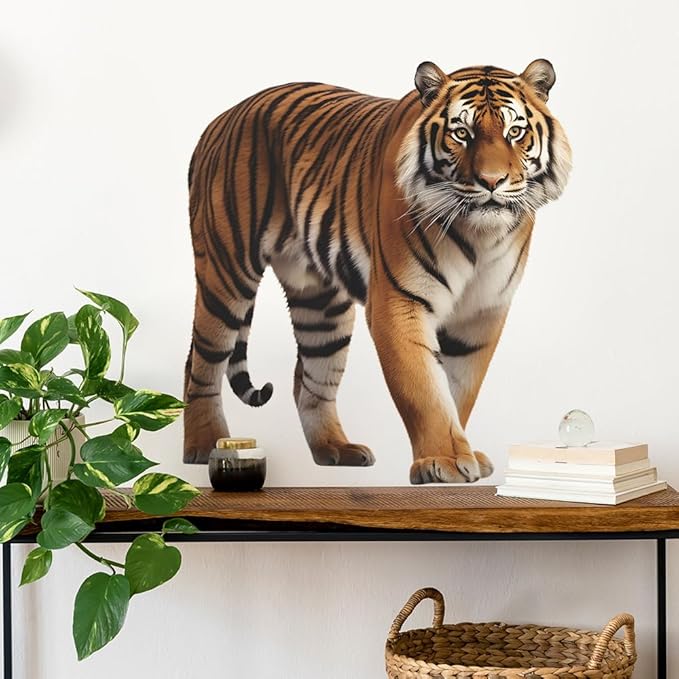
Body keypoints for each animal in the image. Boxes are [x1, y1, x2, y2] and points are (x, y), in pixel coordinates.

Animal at [183, 59, 572, 484]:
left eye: (514, 132)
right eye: (461, 134)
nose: (491, 181)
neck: (480, 235)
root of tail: (221, 118)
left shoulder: (482, 313)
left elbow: (459, 389)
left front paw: (463, 452)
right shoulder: (399, 302)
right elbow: (424, 389)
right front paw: (444, 460)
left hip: (321, 304)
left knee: (309, 378)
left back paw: (336, 449)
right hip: (226, 272)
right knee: (200, 362)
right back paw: (205, 445)